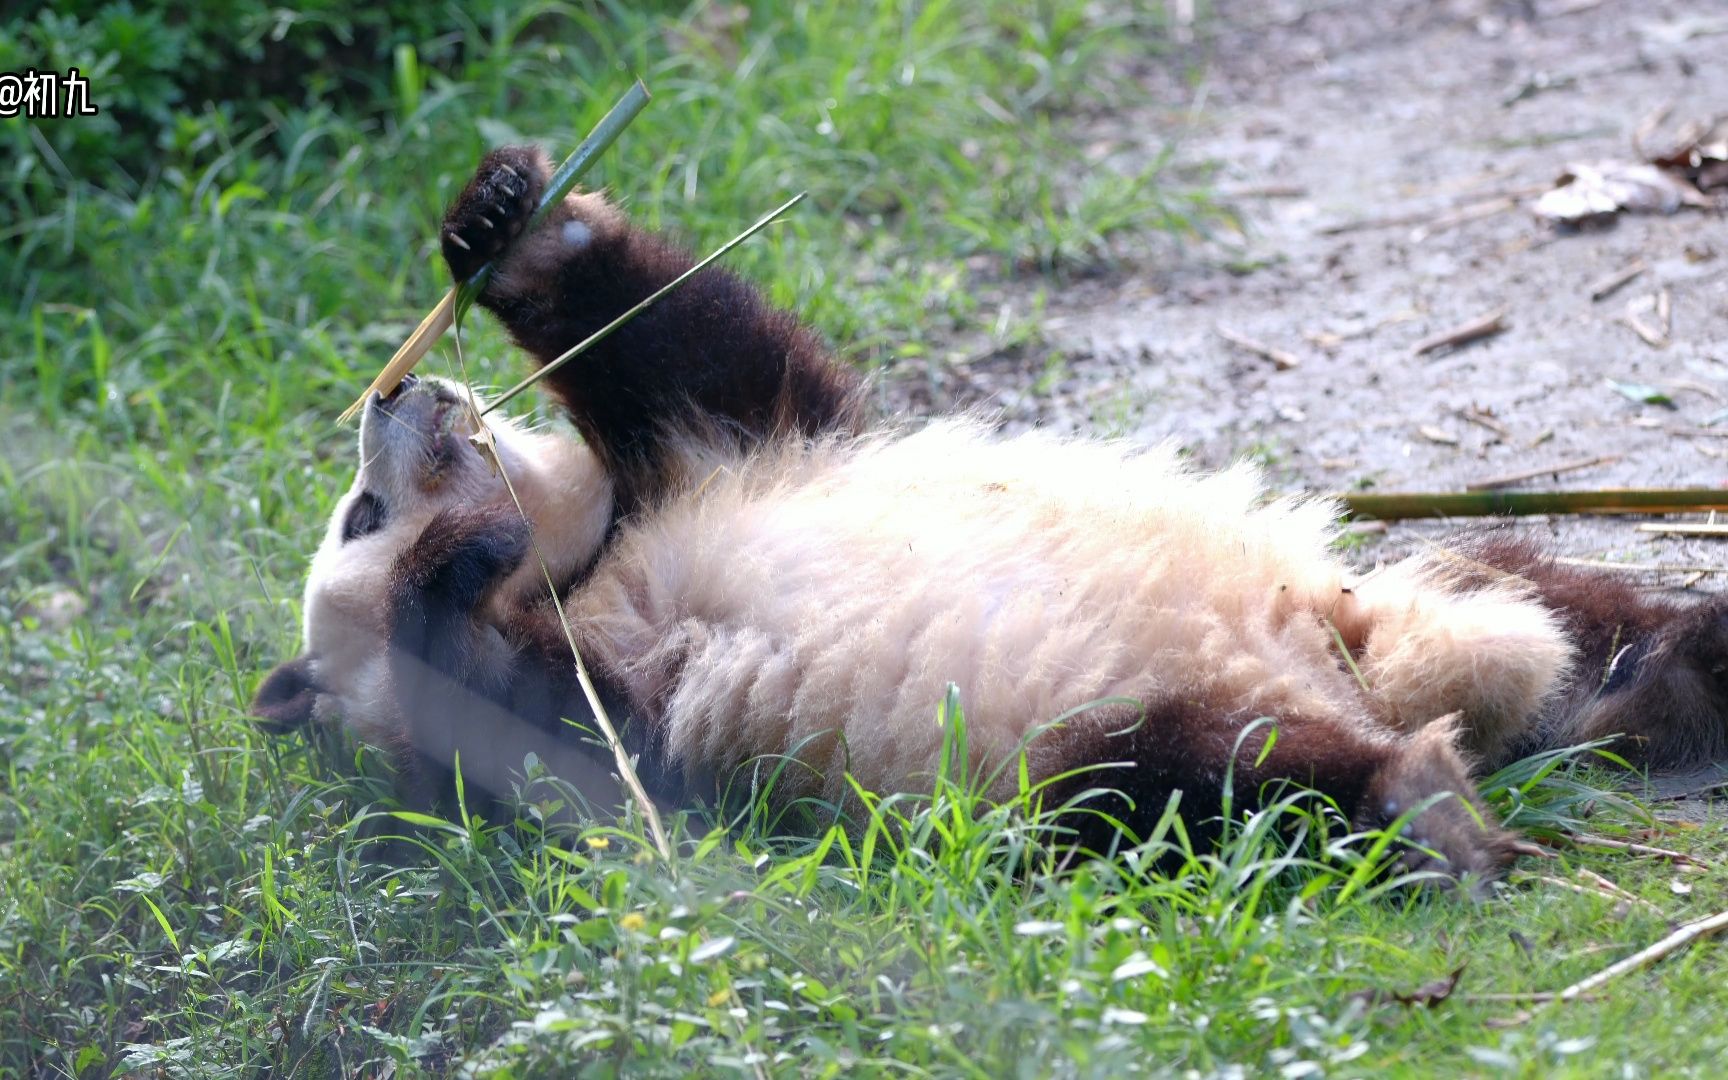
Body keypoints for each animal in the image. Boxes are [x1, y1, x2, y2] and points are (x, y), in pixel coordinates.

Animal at [250, 147, 1728, 881]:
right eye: (361, 510)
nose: (400, 393)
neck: (588, 562)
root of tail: (1376, 675)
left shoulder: (729, 448)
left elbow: (697, 344)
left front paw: (503, 217)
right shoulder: (628, 700)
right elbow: (547, 753)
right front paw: (449, 569)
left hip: (1389, 578)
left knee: (1549, 590)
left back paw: (1680, 661)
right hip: (1074, 746)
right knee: (1210, 780)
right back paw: (1415, 799)